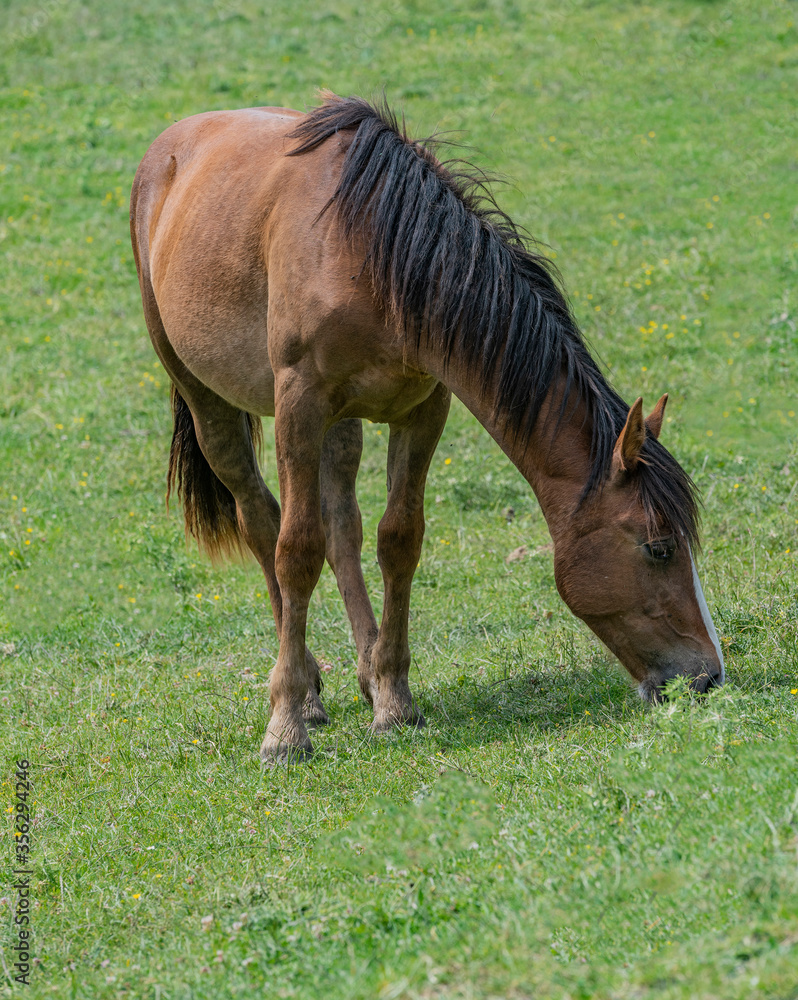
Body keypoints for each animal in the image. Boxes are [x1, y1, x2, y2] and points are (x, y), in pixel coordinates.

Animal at [130, 92, 724, 763]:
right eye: (658, 547)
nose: (707, 676)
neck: (370, 249)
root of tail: (171, 145)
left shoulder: (423, 409)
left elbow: (398, 539)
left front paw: (393, 700)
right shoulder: (300, 404)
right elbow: (295, 550)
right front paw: (284, 727)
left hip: (342, 426)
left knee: (342, 528)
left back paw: (362, 672)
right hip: (208, 400)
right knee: (261, 522)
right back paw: (305, 689)